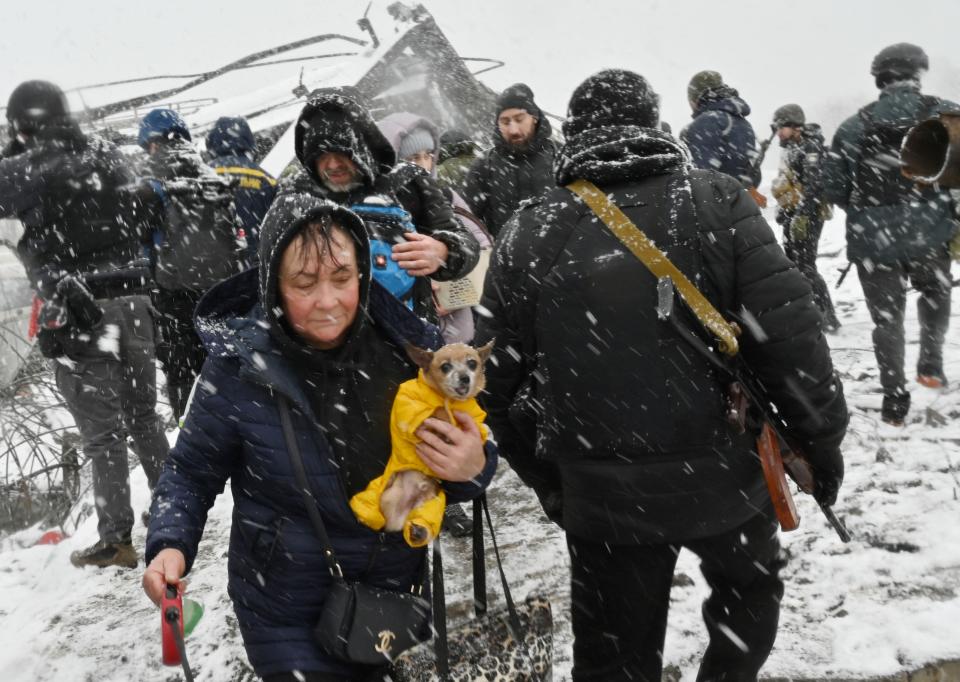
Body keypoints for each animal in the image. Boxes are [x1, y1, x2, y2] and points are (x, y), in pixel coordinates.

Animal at [346, 340, 496, 548]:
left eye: (472, 363)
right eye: (445, 367)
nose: (465, 378)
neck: (449, 400)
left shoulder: (475, 422)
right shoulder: (409, 409)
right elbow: (432, 414)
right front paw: (442, 416)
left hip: (432, 504)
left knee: (420, 523)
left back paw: (418, 531)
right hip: (388, 497)